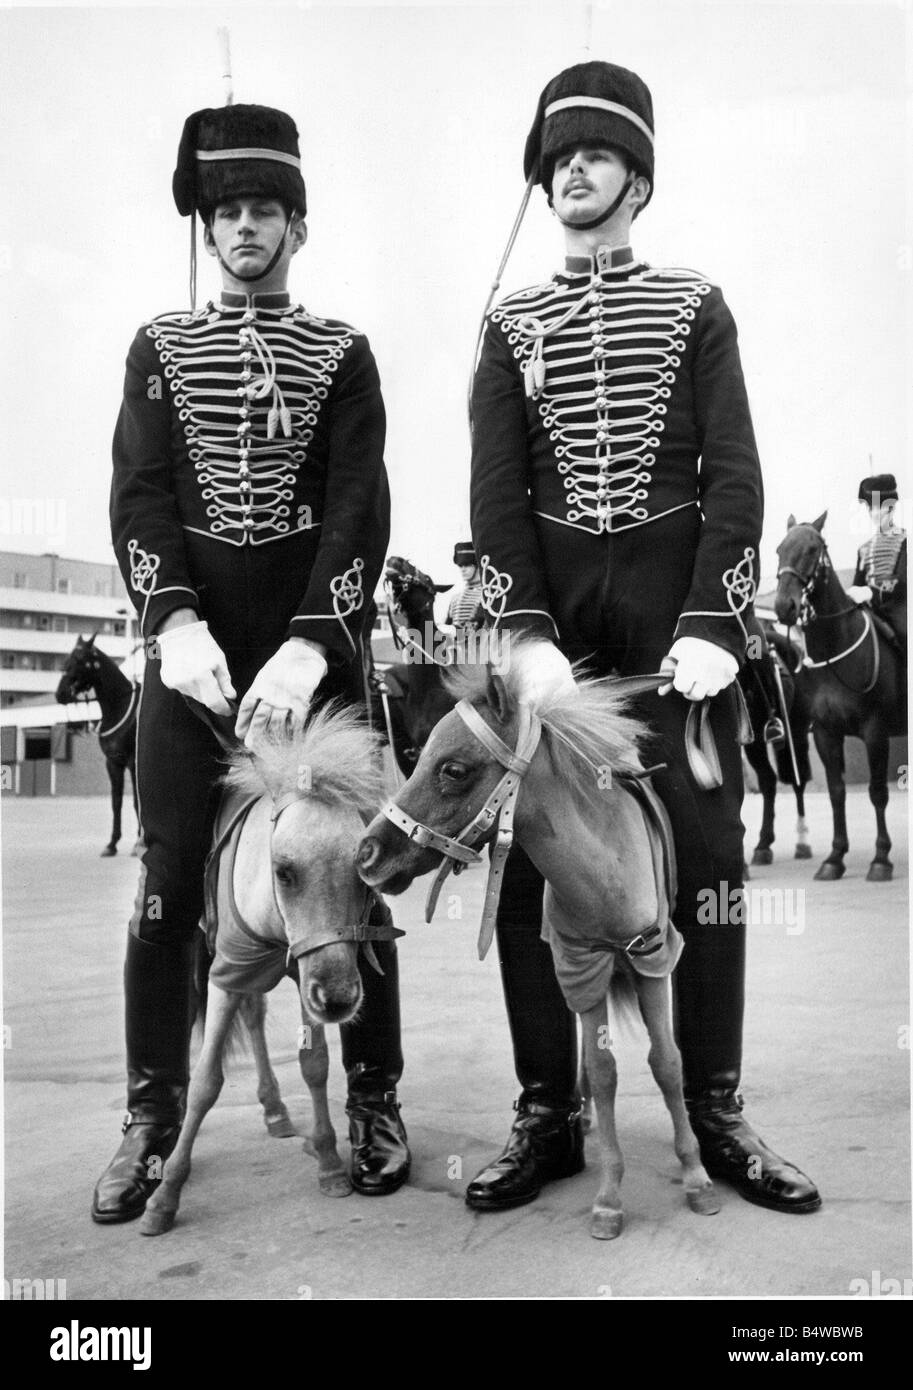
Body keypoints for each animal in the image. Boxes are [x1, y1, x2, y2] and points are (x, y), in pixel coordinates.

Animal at [55, 633, 141, 850]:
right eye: (68, 658)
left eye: (79, 660)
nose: (60, 694)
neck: (119, 707)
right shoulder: (113, 763)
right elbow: (116, 802)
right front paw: (112, 843)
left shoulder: (133, 762)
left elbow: (137, 801)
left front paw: (139, 841)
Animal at [778, 511, 906, 878]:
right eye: (779, 549)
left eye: (811, 549)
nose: (783, 606)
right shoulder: (825, 733)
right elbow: (836, 793)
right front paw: (834, 858)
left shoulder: (875, 731)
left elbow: (877, 793)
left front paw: (881, 859)